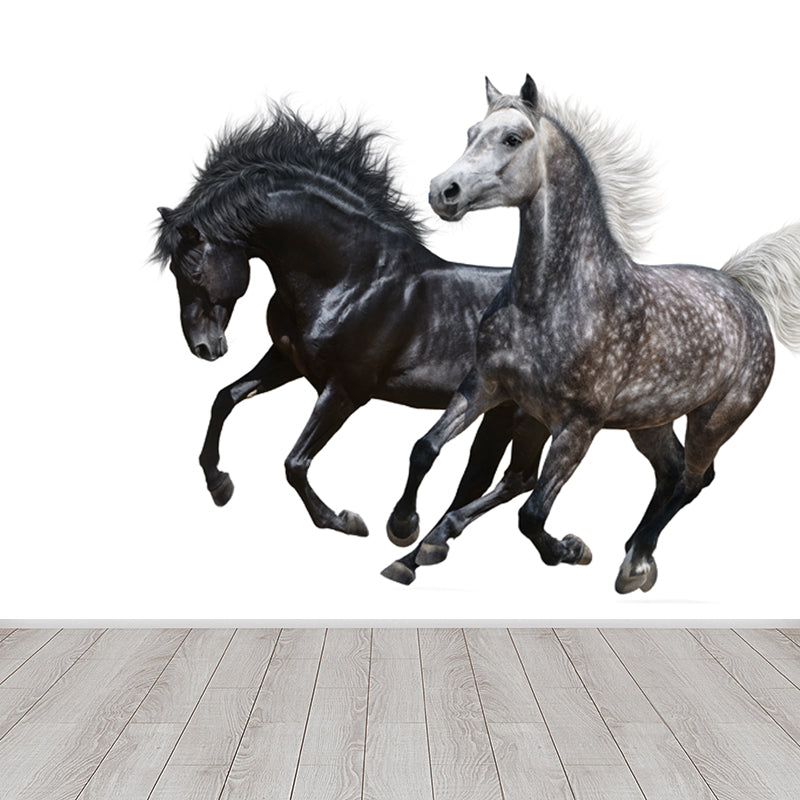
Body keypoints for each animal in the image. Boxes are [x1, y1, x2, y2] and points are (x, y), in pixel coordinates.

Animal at [152, 102, 657, 556]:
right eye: (174, 272)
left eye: (192, 271)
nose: (205, 347)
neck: (352, 277)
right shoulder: (287, 361)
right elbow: (225, 399)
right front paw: (219, 484)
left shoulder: (346, 389)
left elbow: (295, 462)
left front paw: (347, 521)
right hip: (505, 413)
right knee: (502, 477)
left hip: (524, 415)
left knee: (512, 478)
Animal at [386, 75, 800, 593]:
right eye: (471, 133)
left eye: (512, 138)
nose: (443, 191)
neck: (551, 299)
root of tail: (741, 290)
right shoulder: (487, 386)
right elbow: (425, 449)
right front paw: (406, 534)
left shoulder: (578, 426)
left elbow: (531, 514)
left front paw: (571, 549)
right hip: (649, 421)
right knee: (668, 473)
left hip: (716, 420)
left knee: (692, 480)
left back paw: (635, 564)